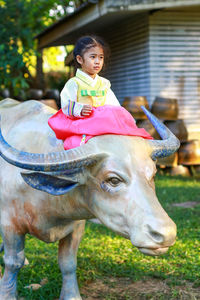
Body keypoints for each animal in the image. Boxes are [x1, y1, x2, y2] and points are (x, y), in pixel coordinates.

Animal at [0, 99, 180, 298]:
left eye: (153, 174)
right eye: (113, 180)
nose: (166, 234)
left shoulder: (76, 226)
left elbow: (68, 262)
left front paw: (71, 295)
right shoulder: (9, 224)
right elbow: (13, 261)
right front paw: (7, 294)